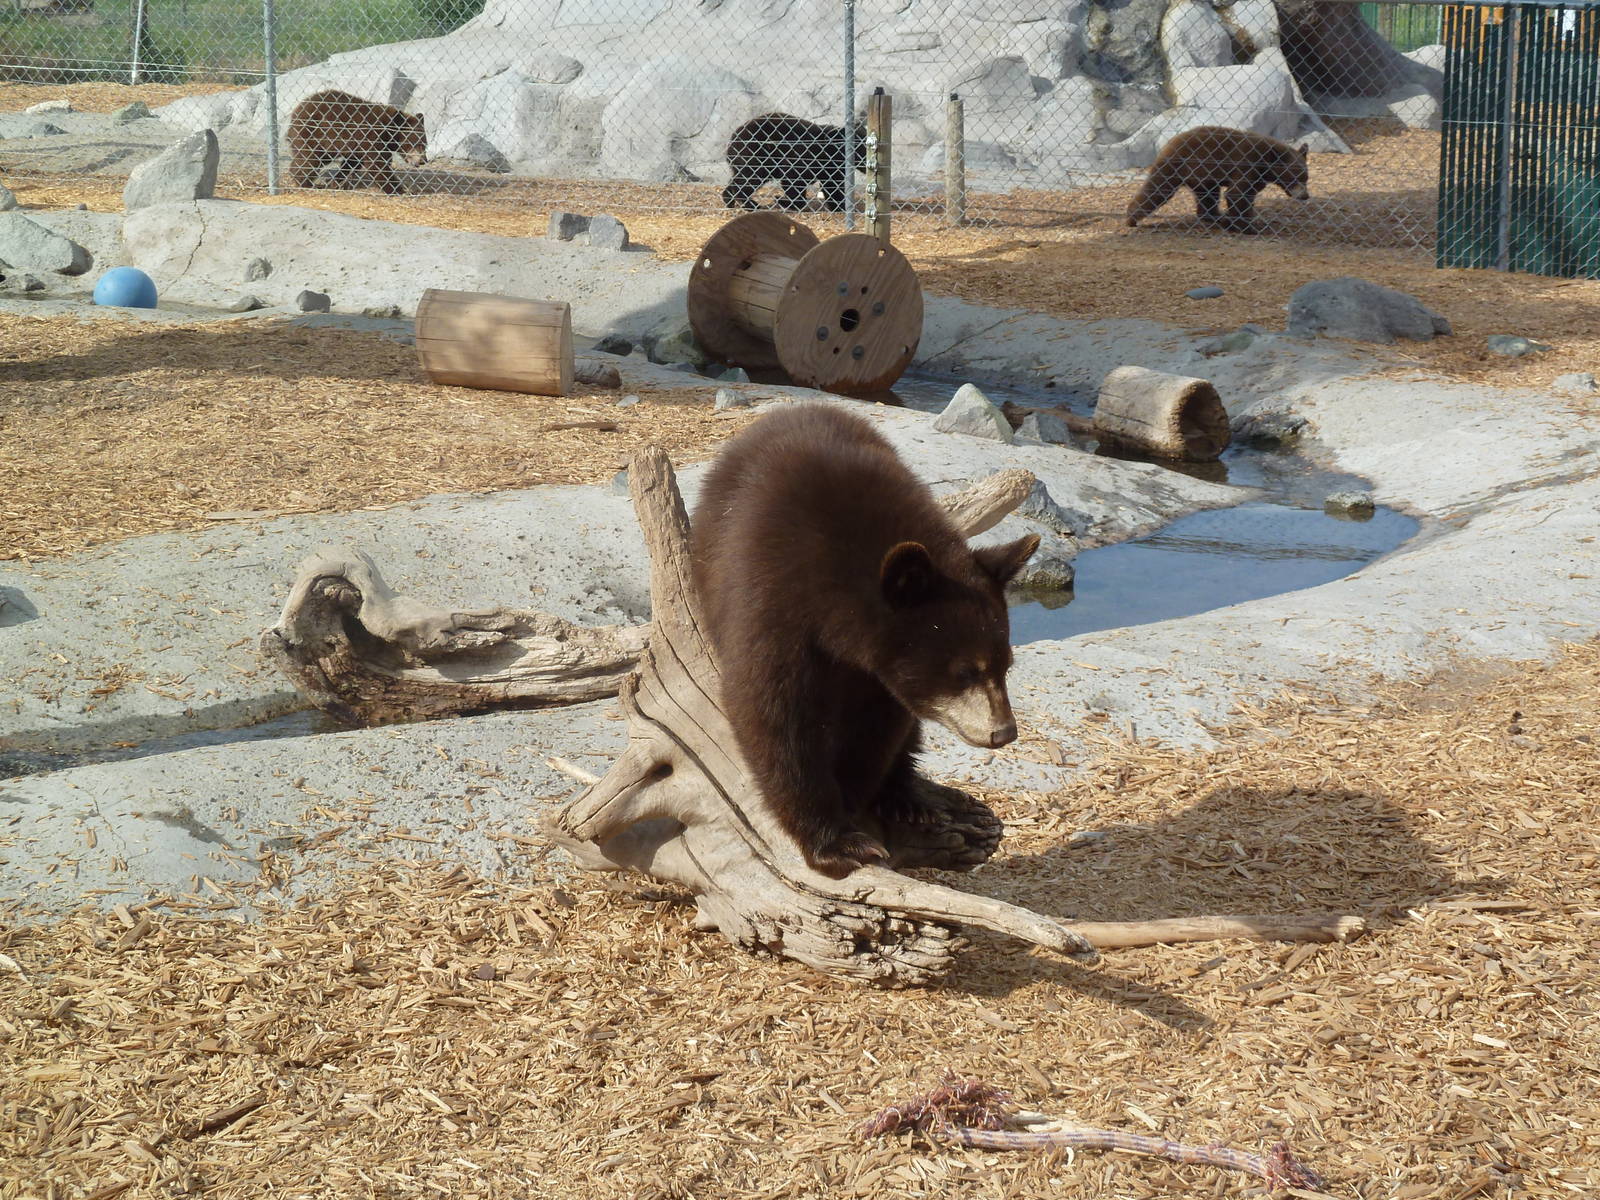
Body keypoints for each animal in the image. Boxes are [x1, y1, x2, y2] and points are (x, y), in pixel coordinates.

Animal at [286, 90, 426, 195]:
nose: (423, 160)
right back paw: (306, 183)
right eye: (417, 143)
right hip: (314, 133)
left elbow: (352, 162)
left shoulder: (357, 146)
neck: (389, 133)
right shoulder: (372, 137)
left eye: (425, 144)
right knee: (310, 157)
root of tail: (297, 111)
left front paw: (337, 181)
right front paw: (399, 190)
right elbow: (377, 164)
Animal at [689, 403, 1039, 879]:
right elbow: (776, 717)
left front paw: (858, 797)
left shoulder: (879, 674)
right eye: (965, 670)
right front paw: (837, 842)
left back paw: (906, 797)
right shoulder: (770, 598)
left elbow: (879, 726)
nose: (1003, 732)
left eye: (1005, 665)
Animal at [722, 112, 867, 212]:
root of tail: (733, 138)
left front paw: (840, 206)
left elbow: (833, 185)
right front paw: (782, 199)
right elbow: (793, 179)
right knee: (750, 177)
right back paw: (751, 204)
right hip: (757, 152)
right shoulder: (805, 156)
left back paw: (729, 200)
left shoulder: (831, 167)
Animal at [1125, 125, 1309, 232]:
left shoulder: (1258, 177)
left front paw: (1247, 222)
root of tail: (1169, 142)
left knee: (1208, 196)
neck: (1267, 165)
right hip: (1178, 164)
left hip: (1203, 176)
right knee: (1159, 189)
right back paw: (1131, 218)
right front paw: (1247, 227)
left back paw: (1215, 217)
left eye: (1306, 178)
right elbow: (1237, 193)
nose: (1305, 196)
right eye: (1295, 177)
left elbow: (1248, 195)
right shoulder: (1247, 164)